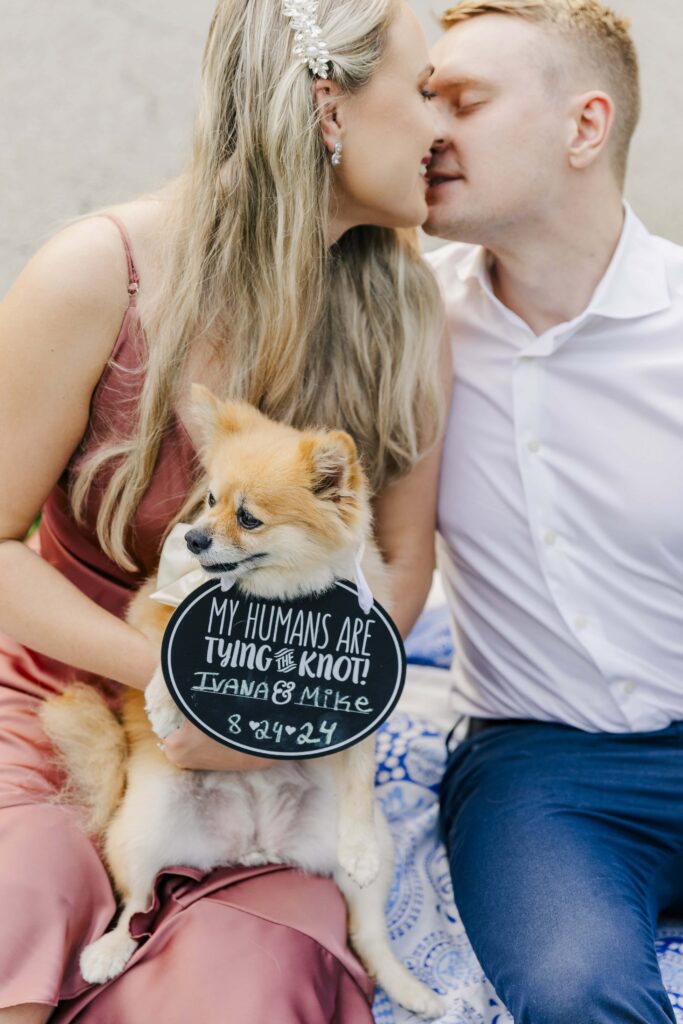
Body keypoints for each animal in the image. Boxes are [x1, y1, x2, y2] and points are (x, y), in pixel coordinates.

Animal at [40, 387, 444, 1019]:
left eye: (248, 518)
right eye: (209, 500)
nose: (194, 538)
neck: (277, 602)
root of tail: (251, 846)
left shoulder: (366, 695)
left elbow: (358, 769)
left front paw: (354, 835)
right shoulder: (152, 607)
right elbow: (161, 649)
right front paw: (165, 705)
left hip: (371, 858)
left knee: (368, 934)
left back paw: (408, 986)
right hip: (142, 829)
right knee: (133, 905)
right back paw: (106, 952)